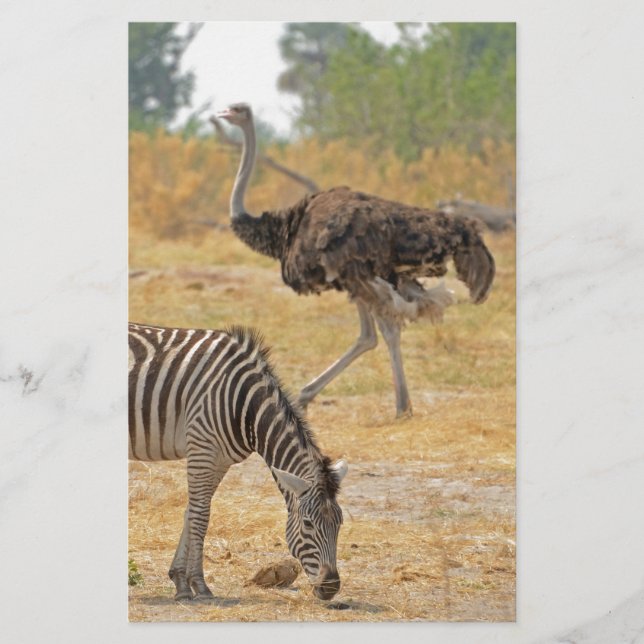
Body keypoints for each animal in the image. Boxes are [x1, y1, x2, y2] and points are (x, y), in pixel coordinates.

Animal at [128, 322, 348, 601]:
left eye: (339, 523)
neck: (245, 404)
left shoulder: (219, 458)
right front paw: (199, 584)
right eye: (308, 524)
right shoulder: (202, 446)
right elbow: (201, 515)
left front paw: (180, 581)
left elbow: (191, 511)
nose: (331, 587)